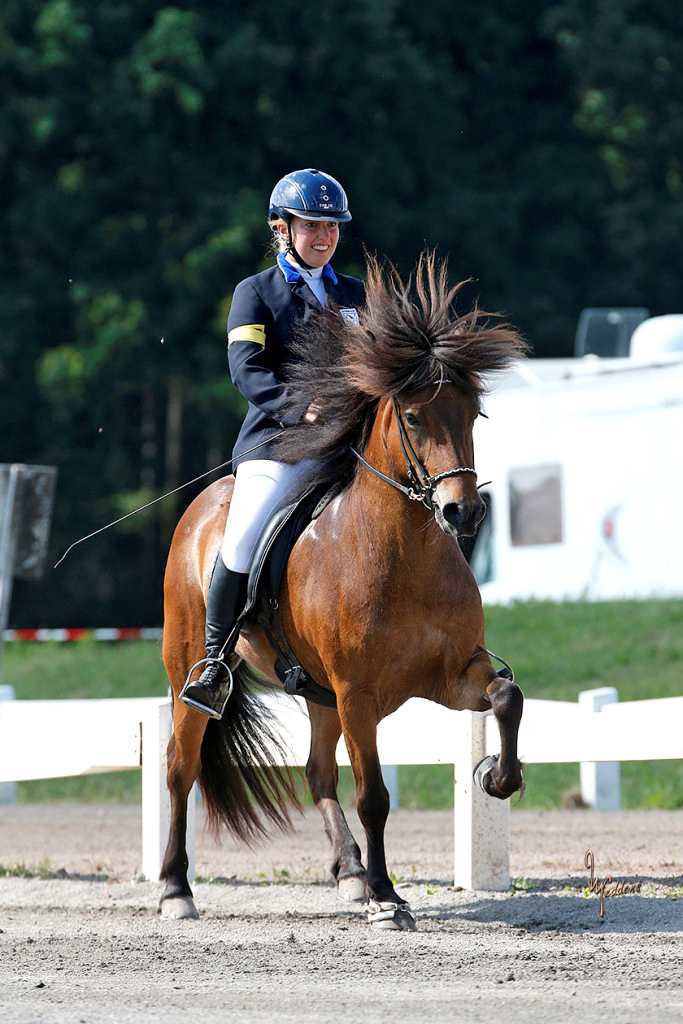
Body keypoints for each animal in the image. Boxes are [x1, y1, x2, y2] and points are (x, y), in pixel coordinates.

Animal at [160, 249, 528, 929]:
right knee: (181, 766)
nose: (462, 513)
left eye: (474, 413)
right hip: (191, 675)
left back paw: (351, 873)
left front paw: (497, 776)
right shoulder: (359, 696)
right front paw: (388, 898)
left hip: (319, 694)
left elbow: (507, 697)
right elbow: (374, 795)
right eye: (413, 417)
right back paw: (176, 889)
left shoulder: (452, 675)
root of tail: (201, 508)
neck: (405, 557)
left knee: (316, 774)